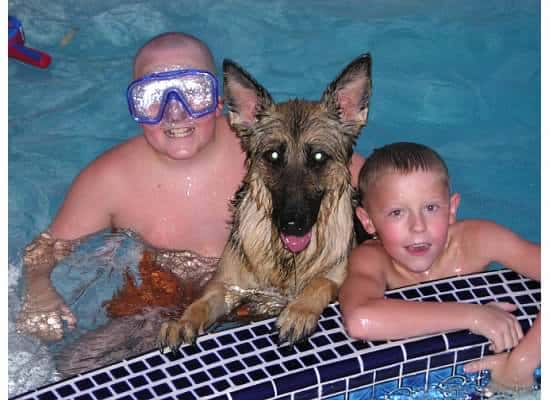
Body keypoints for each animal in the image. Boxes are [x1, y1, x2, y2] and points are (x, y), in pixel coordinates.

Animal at [160, 54, 376, 350]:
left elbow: (320, 283)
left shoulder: (339, 277)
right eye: (273, 156)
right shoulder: (227, 288)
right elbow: (201, 303)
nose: (292, 224)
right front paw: (183, 321)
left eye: (319, 157)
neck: (289, 260)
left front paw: (299, 311)